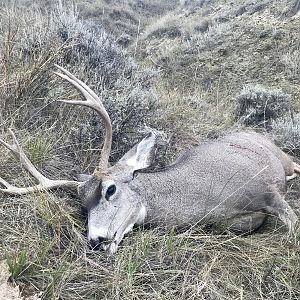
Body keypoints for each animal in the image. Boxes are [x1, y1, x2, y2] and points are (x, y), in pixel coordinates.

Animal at [0, 64, 298, 252]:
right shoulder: (226, 223)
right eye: (82, 206)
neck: (210, 195)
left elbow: (293, 226)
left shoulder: (268, 192)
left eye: (110, 190)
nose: (96, 240)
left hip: (283, 160)